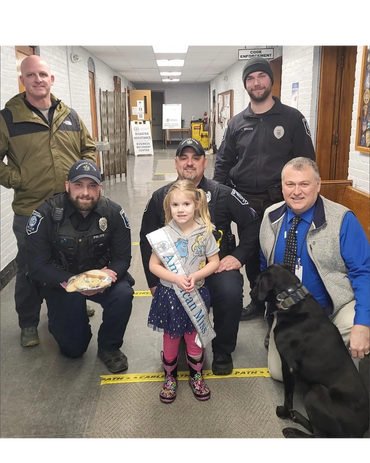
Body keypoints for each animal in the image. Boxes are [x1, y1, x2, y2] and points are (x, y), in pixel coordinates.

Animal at [250, 264, 368, 442]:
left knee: (319, 437)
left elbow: (288, 395)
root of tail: (360, 432)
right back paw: (297, 417)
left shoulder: (289, 365)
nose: (250, 293)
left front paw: (284, 413)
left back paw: (292, 430)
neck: (293, 301)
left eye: (257, 281)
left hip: (314, 391)